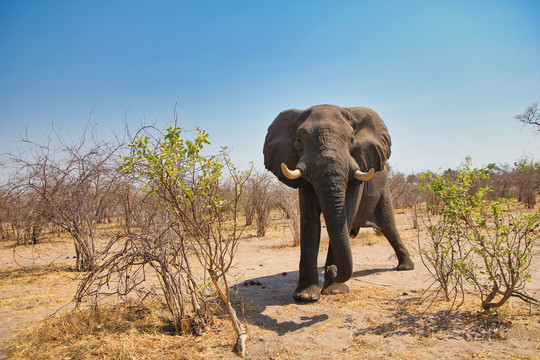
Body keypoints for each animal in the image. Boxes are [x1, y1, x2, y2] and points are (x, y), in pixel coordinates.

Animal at [264, 103, 416, 300]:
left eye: (351, 139)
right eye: (299, 140)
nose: (330, 269)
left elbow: (347, 213)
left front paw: (334, 290)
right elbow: (309, 221)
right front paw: (305, 297)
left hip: (383, 189)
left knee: (389, 226)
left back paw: (405, 267)